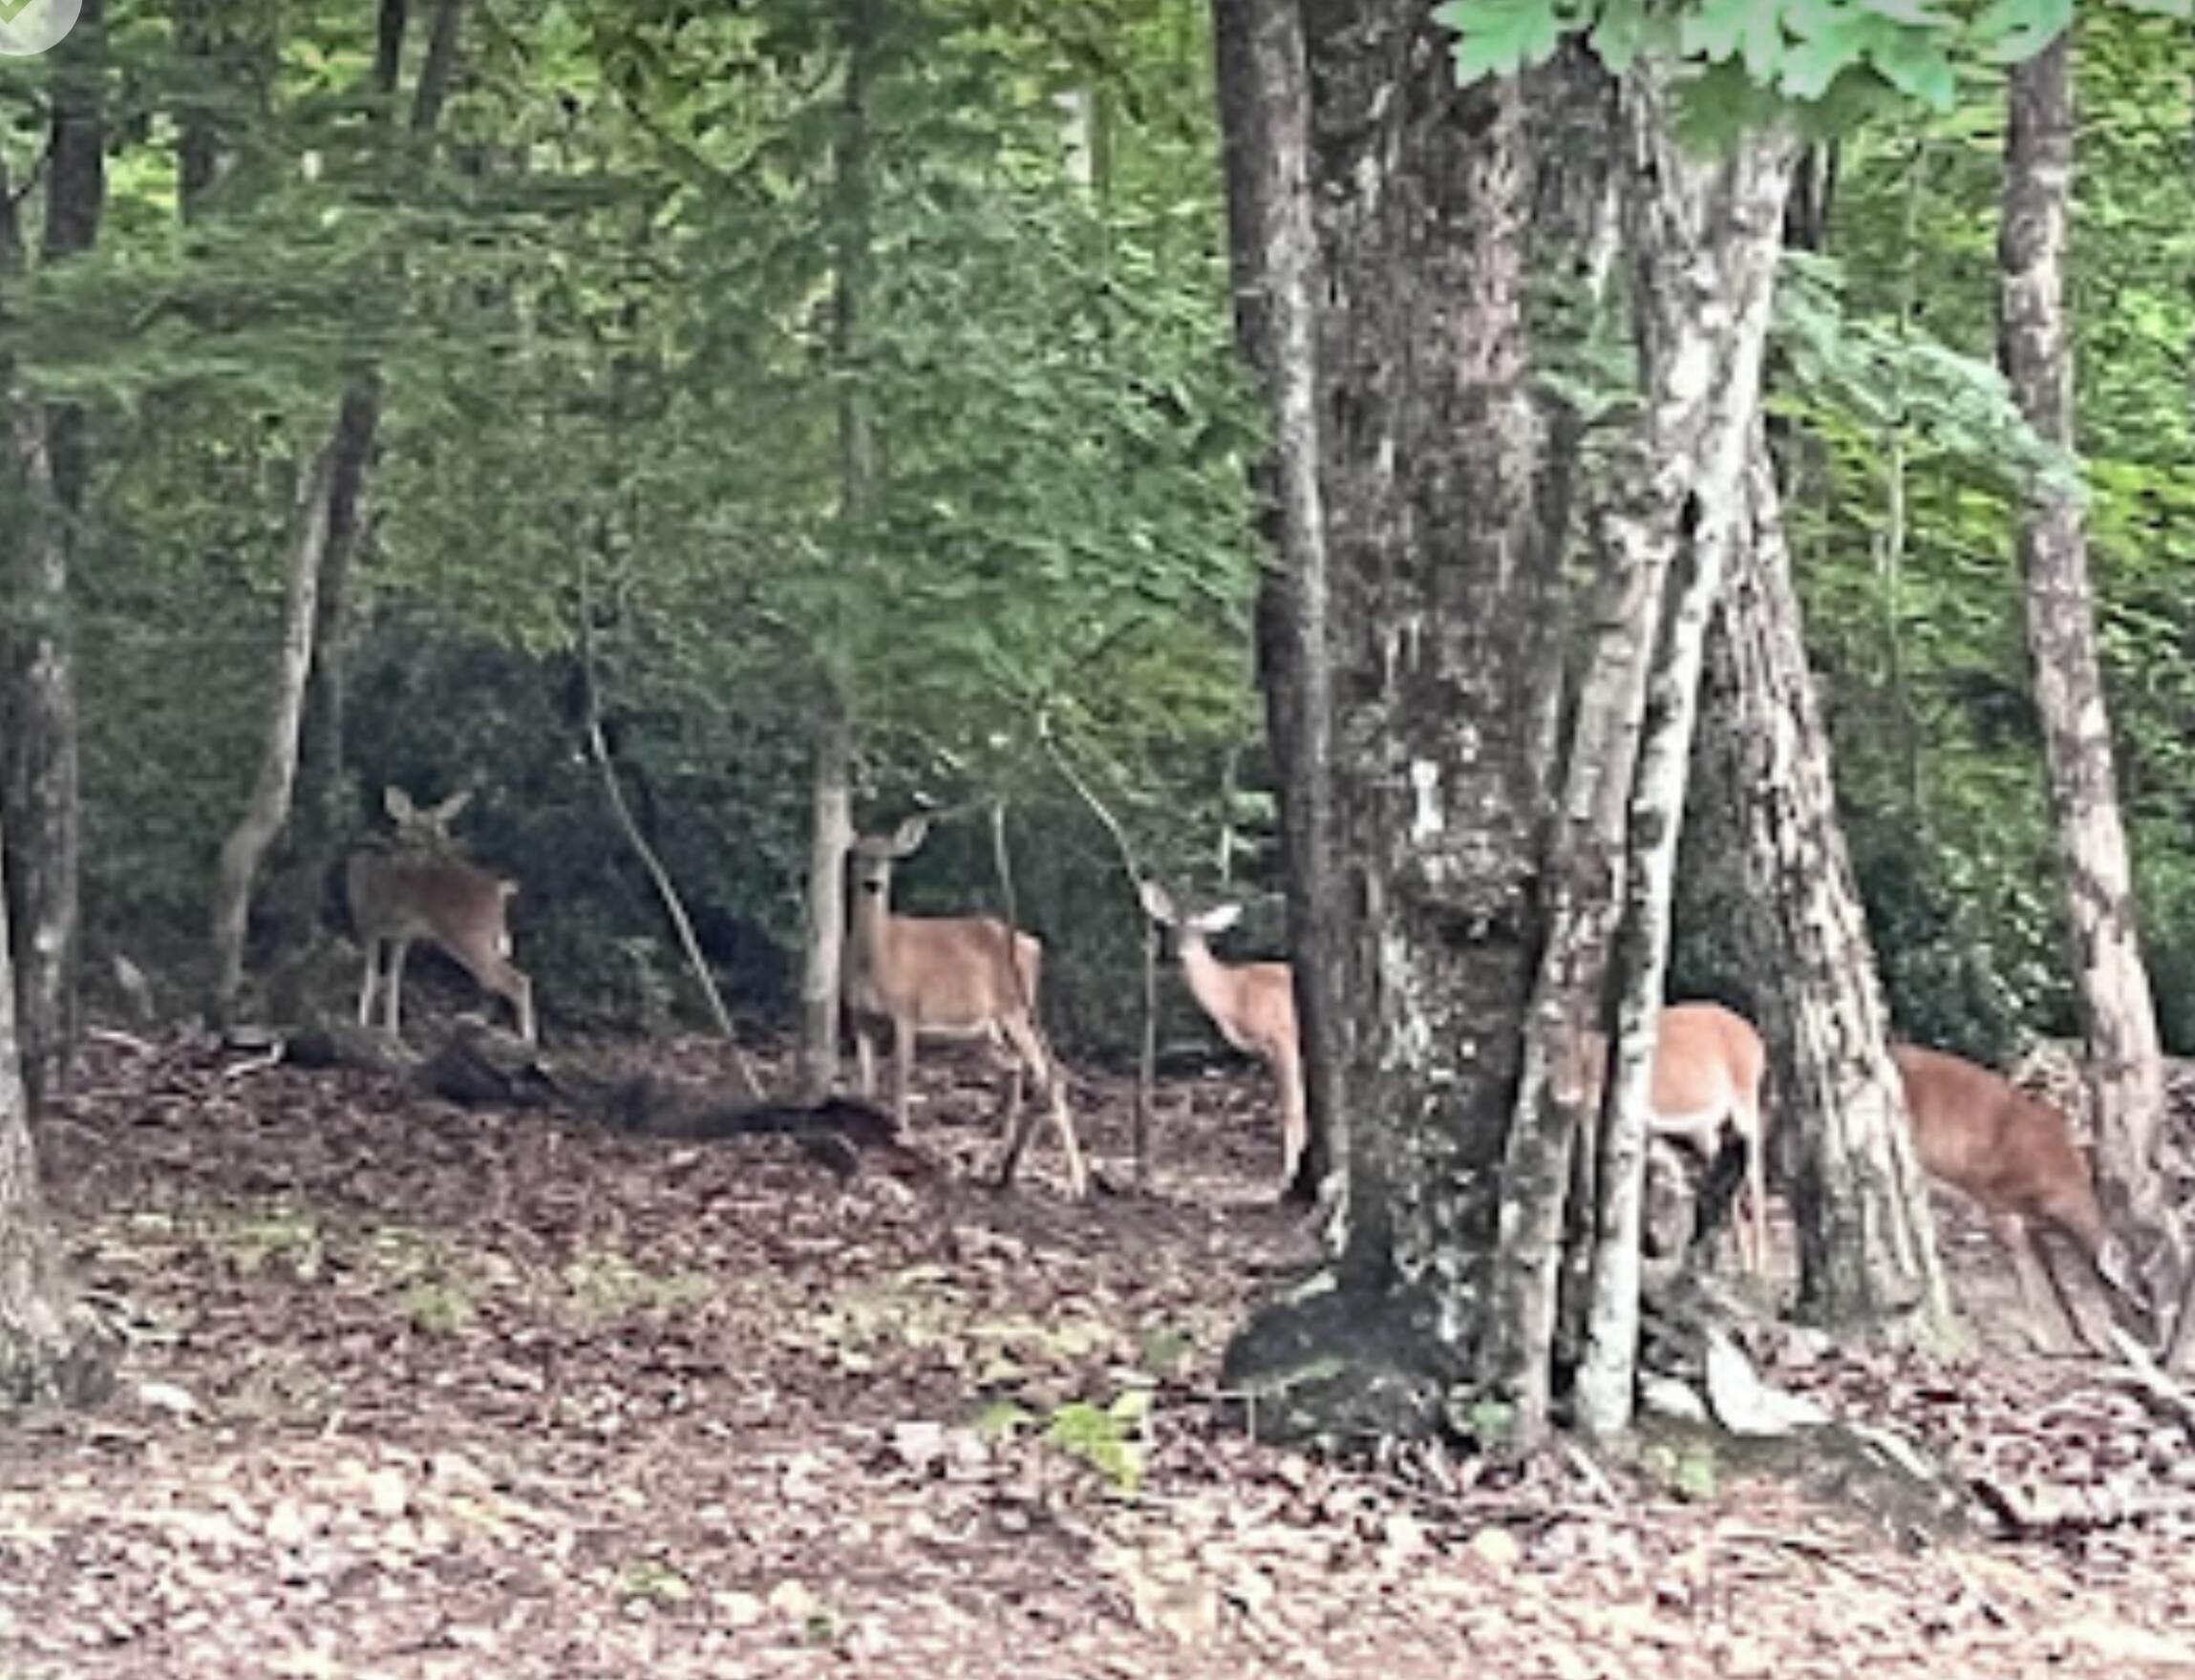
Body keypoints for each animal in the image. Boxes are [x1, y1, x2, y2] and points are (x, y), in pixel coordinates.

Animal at [347, 786, 535, 1044]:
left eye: (443, 834)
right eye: (420, 838)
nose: (447, 858)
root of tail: (500, 891)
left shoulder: (369, 922)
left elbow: (373, 975)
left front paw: (363, 1024)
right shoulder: (392, 932)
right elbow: (391, 978)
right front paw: (391, 1030)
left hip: (467, 934)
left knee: (516, 980)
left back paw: (527, 1040)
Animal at [842, 816, 1086, 1198]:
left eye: (890, 857)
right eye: (857, 854)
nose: (872, 884)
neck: (877, 959)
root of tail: (1034, 945)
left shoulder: (906, 1011)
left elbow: (900, 1080)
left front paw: (902, 1136)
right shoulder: (860, 1018)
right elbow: (865, 1084)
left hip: (1016, 1008)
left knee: (1051, 1074)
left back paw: (1075, 1182)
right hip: (986, 1030)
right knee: (1016, 1068)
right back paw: (1000, 1167)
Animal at [1138, 882, 1303, 1191]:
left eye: (1199, 929)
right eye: (1171, 925)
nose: (1178, 952)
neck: (1234, 997)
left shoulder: (1282, 1039)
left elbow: (1293, 1107)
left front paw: (1288, 1174)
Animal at [1892, 1042, 2140, 1354]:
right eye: (2140, 1306)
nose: (2151, 1346)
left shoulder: (2033, 1221)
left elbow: (2052, 1273)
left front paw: (2083, 1337)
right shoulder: (1995, 1200)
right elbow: (2023, 1267)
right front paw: (2043, 1340)